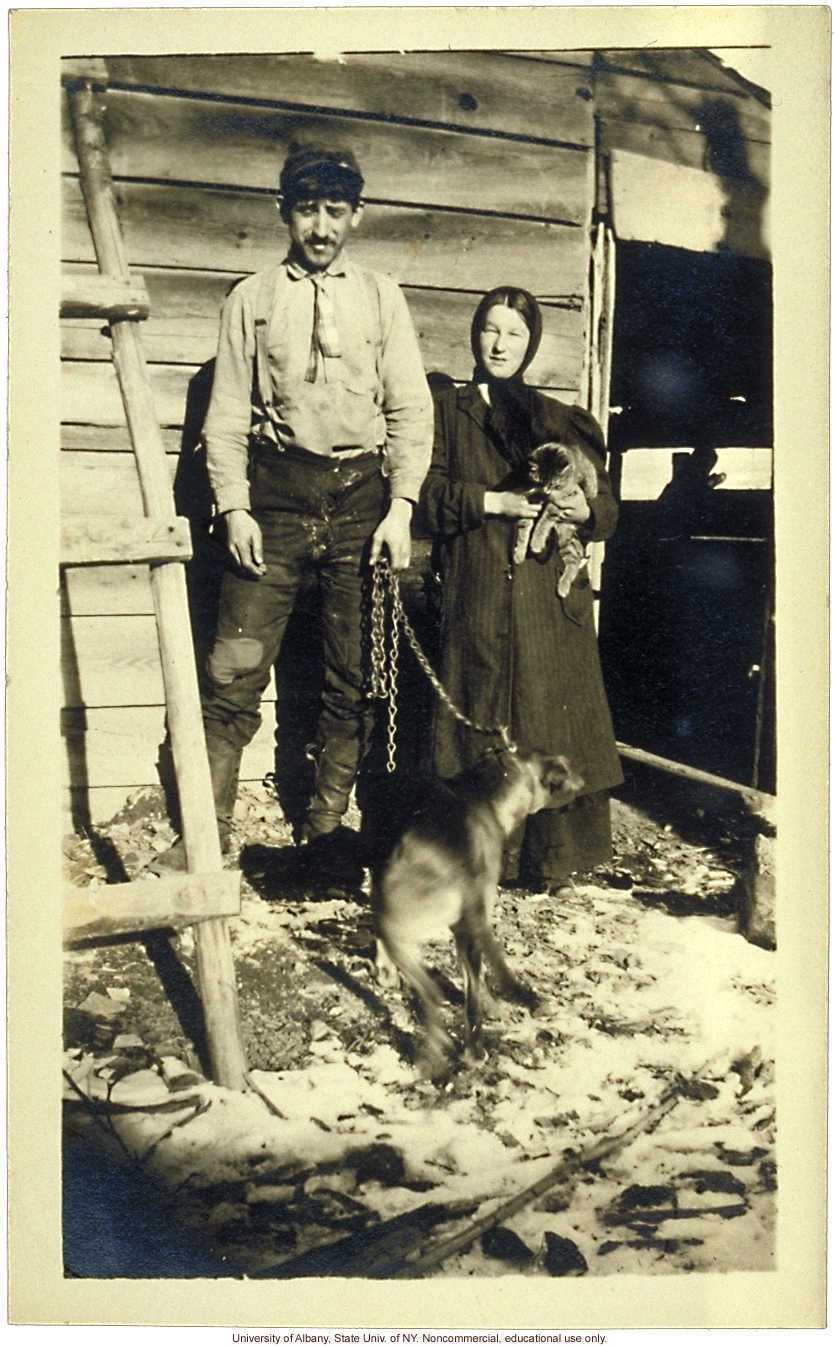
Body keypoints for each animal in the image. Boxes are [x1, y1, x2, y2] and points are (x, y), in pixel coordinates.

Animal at [514, 441, 600, 594]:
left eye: (552, 483)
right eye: (539, 481)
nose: (545, 491)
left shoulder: (560, 501)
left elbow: (542, 522)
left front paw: (536, 543)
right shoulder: (530, 500)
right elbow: (524, 527)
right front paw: (519, 552)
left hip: (569, 536)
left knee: (574, 562)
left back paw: (563, 587)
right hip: (567, 540)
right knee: (573, 561)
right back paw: (563, 584)